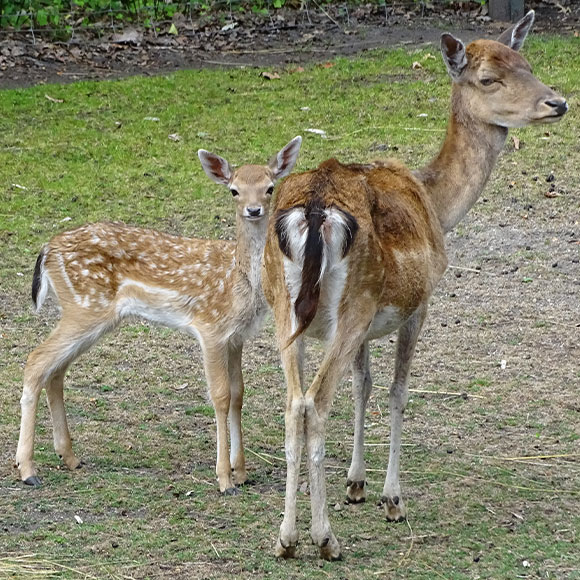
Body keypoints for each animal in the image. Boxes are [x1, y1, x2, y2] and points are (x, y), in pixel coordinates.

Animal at [15, 137, 302, 494]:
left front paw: (242, 472)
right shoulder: (209, 327)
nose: (253, 210)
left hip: (90, 313)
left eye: (269, 187)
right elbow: (220, 396)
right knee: (36, 361)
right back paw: (27, 469)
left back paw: (69, 457)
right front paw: (224, 479)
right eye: (234, 190)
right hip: (86, 306)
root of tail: (46, 250)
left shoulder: (237, 337)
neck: (238, 282)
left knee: (55, 370)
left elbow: (238, 395)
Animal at [262, 11, 568, 560]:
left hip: (286, 307)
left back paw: (286, 539)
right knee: (315, 404)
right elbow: (398, 390)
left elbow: (363, 384)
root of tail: (314, 211)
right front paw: (391, 498)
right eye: (488, 78)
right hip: (350, 304)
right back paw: (324, 539)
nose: (558, 103)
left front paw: (356, 484)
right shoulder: (419, 303)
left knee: (293, 404)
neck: (436, 206)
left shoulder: (361, 326)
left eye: (527, 64)